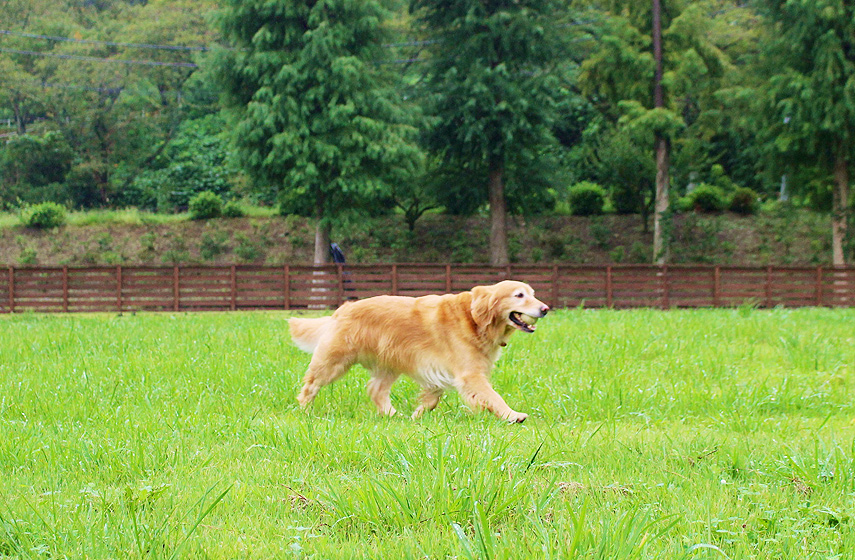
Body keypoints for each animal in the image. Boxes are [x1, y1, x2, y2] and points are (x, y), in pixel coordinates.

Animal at [288, 282, 548, 422]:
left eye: (533, 294)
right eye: (519, 295)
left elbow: (432, 398)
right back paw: (305, 411)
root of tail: (342, 309)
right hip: (335, 360)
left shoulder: (438, 371)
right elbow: (493, 396)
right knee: (311, 384)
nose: (545, 309)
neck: (475, 319)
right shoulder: (469, 374)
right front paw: (512, 415)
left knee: (376, 390)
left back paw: (393, 415)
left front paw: (417, 415)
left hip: (389, 362)